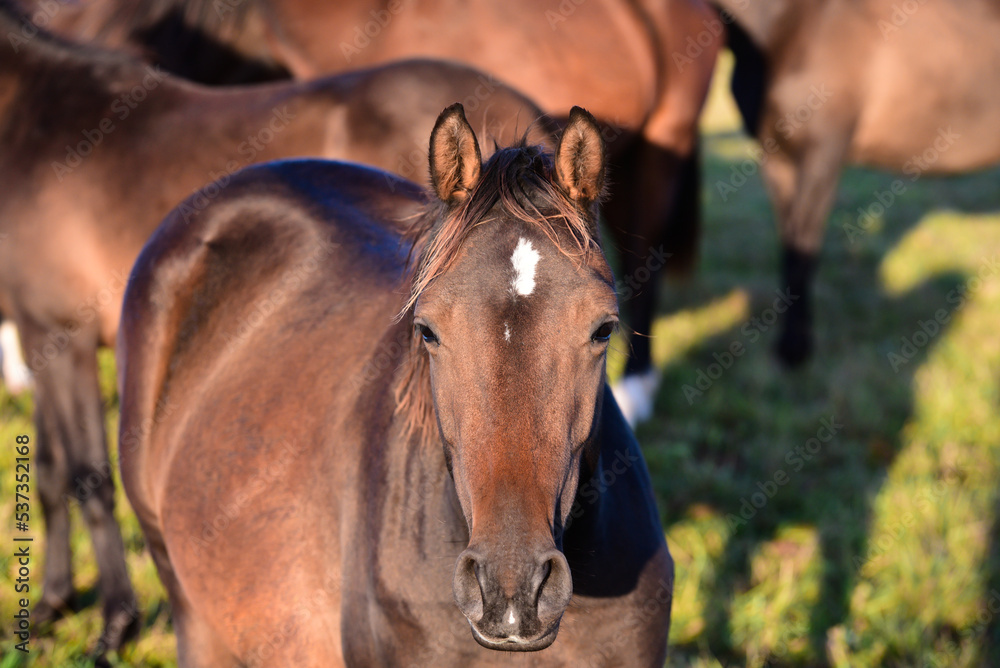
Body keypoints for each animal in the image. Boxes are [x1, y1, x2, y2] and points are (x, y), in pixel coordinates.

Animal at [0, 1, 548, 654]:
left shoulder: (61, 333)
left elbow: (86, 475)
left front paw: (113, 627)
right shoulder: (37, 334)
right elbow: (48, 469)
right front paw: (50, 605)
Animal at [713, 0, 1000, 364]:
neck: (792, 25)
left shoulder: (821, 160)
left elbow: (803, 251)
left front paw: (796, 349)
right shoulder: (777, 161)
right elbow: (789, 247)